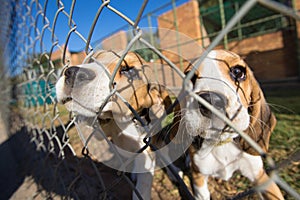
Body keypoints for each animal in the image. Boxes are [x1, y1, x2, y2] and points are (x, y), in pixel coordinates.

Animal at [177, 49, 284, 199]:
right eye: (189, 77)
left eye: (238, 71)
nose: (210, 100)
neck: (222, 143)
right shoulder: (199, 180)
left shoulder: (261, 176)